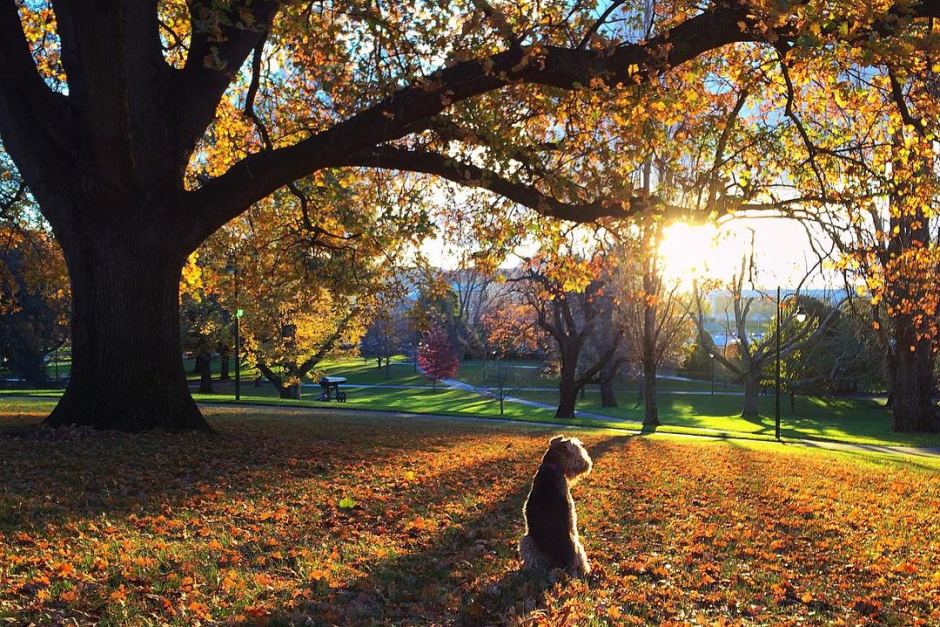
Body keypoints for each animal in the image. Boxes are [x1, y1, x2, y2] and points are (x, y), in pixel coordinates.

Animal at [516, 436, 592, 580]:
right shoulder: (572, 520)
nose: (588, 464)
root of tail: (560, 568)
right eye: (577, 449)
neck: (551, 465)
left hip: (527, 541)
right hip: (577, 546)